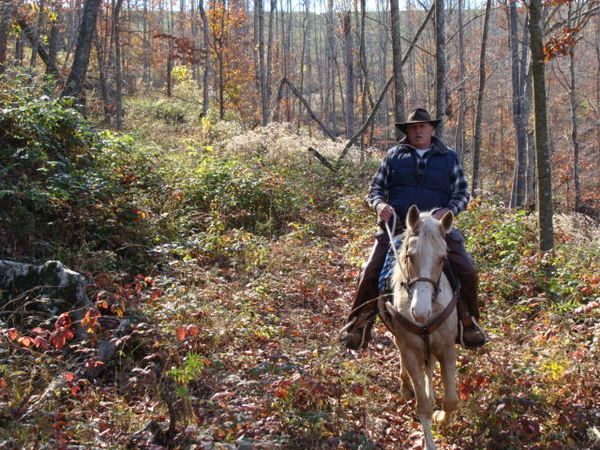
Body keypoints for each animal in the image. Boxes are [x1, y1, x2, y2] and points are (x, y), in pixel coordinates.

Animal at [378, 204, 459, 450]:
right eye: (409, 256)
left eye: (443, 258)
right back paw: (405, 385)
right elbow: (423, 405)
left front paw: (441, 419)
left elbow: (451, 400)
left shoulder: (447, 348)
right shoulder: (410, 350)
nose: (420, 312)